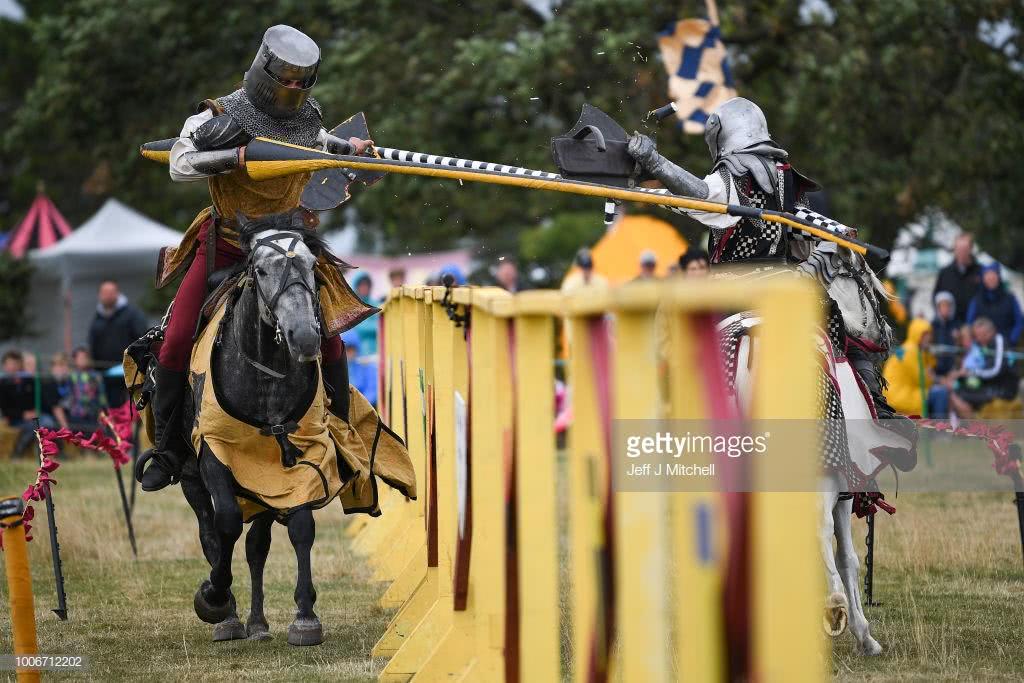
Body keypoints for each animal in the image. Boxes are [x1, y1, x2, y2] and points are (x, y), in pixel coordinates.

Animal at [180, 209, 348, 647]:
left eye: (311, 264)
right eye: (260, 270)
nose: (304, 337)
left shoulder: (301, 458)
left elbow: (301, 528)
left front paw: (305, 617)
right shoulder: (213, 451)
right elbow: (224, 524)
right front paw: (214, 596)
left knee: (257, 545)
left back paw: (256, 622)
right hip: (192, 477)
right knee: (211, 532)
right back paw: (229, 617)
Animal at [720, 250, 913, 655]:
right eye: (867, 285)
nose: (887, 335)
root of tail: (747, 340)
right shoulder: (842, 487)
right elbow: (847, 557)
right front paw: (863, 632)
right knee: (819, 533)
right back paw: (836, 608)